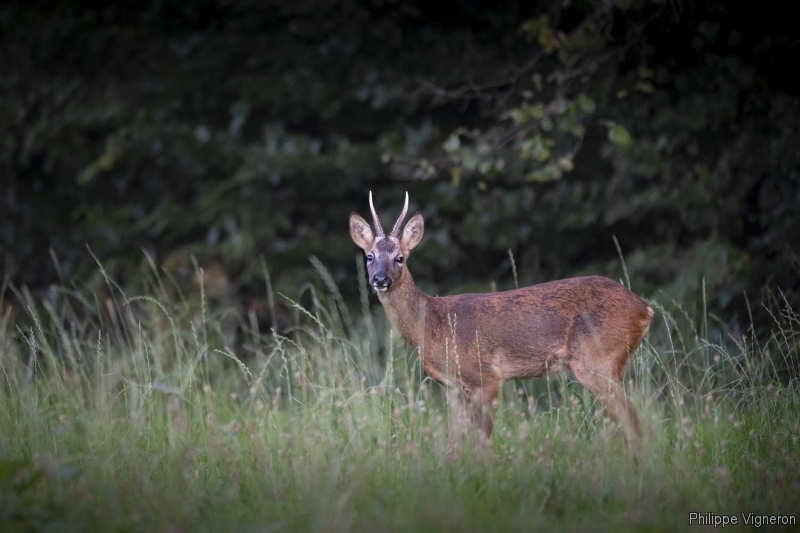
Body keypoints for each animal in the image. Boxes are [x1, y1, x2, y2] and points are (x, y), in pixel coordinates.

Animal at [352, 191, 656, 454]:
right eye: (369, 256)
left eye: (400, 258)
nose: (380, 279)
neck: (432, 326)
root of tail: (645, 309)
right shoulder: (451, 387)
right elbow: (453, 446)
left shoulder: (486, 376)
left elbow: (482, 445)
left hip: (598, 361)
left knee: (638, 428)